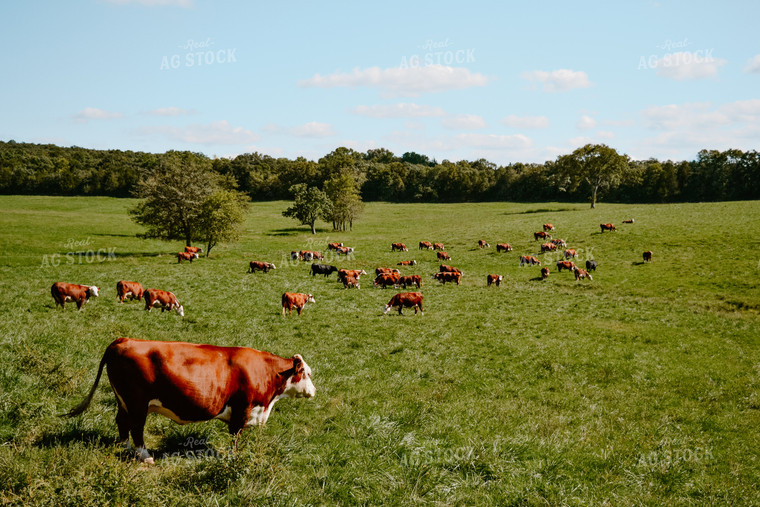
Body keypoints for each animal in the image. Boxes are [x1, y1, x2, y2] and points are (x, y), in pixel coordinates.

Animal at [61, 340, 318, 466]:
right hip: (137, 403)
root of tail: (122, 340)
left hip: (123, 401)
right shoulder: (242, 410)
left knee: (122, 423)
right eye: (306, 373)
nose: (314, 391)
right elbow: (234, 438)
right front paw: (233, 459)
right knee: (136, 428)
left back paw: (124, 448)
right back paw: (144, 455)